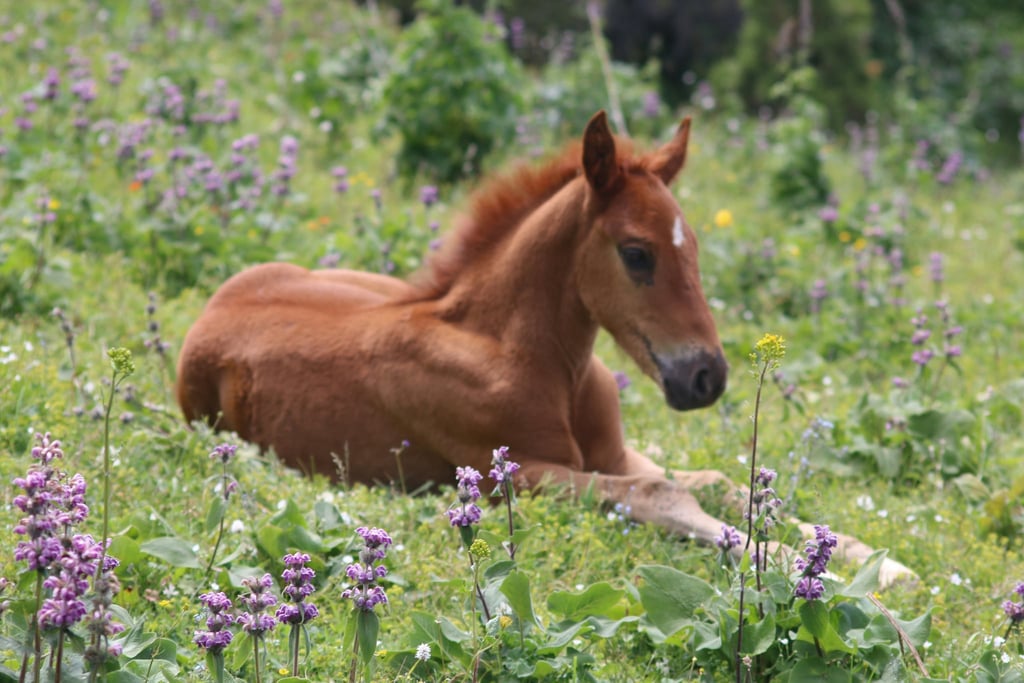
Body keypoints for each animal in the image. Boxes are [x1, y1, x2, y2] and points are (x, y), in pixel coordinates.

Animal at [177, 111, 913, 586]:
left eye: (695, 247)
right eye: (637, 253)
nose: (708, 376)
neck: (534, 358)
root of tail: (214, 303)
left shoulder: (612, 453)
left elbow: (719, 482)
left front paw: (874, 558)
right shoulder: (519, 472)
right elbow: (666, 493)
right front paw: (787, 563)